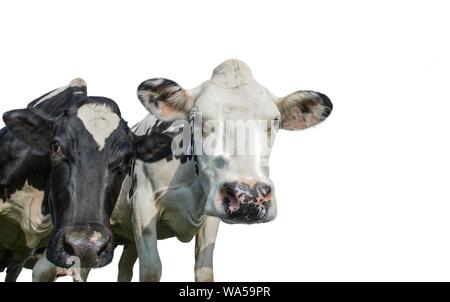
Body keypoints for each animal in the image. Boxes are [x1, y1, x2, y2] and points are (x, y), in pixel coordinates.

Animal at [110, 58, 332, 280]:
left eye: (275, 121)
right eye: (195, 118)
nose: (249, 198)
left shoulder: (210, 215)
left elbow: (204, 269)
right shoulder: (142, 202)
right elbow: (151, 268)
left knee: (124, 267)